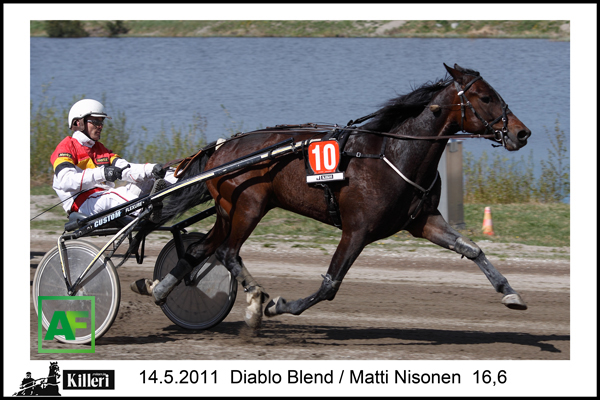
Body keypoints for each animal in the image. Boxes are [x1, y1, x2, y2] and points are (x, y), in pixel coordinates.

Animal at [133, 63, 531, 330]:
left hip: (230, 209)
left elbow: (472, 249)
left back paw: (162, 289)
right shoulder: (357, 230)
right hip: (249, 206)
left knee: (202, 250)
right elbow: (330, 285)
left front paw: (509, 292)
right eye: (485, 96)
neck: (393, 154)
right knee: (228, 253)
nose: (522, 133)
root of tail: (220, 147)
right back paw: (256, 300)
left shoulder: (423, 221)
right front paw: (278, 305)